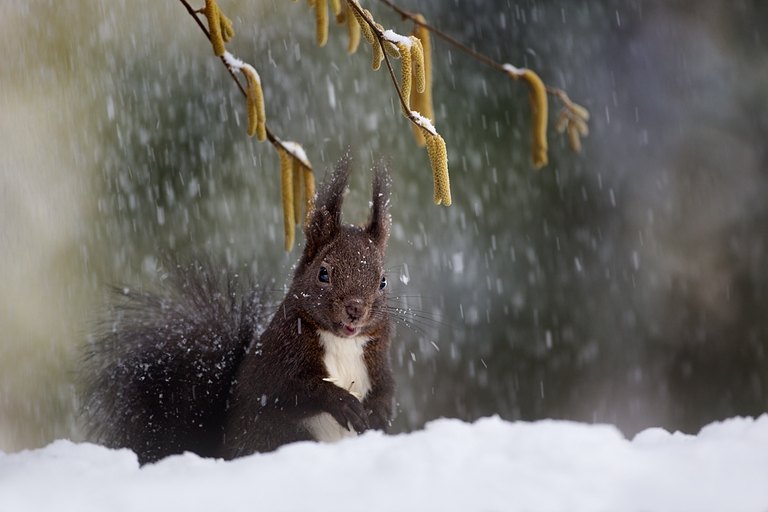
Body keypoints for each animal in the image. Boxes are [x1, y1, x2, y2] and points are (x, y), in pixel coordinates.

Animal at [81, 157, 392, 464]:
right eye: (323, 273)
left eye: (383, 281)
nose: (355, 308)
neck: (343, 342)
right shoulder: (278, 359)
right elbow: (293, 391)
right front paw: (343, 402)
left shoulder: (378, 364)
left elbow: (385, 393)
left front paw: (379, 415)